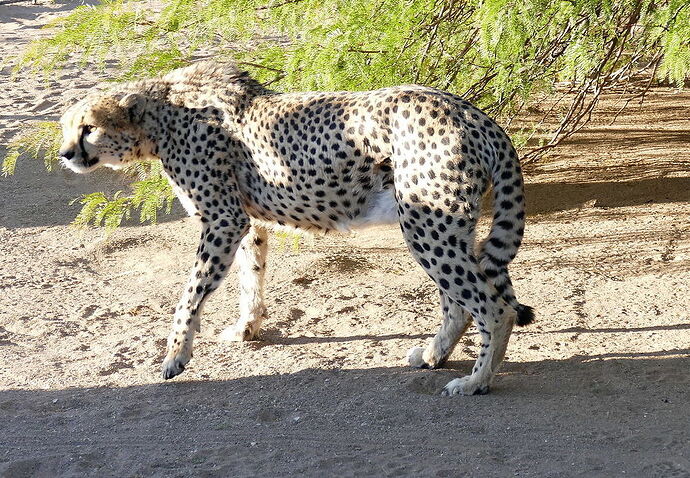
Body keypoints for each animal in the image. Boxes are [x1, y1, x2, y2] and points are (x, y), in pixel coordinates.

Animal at [59, 61, 532, 394]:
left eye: (89, 128)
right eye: (66, 127)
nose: (65, 154)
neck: (163, 116)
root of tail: (472, 113)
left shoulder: (223, 219)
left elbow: (190, 294)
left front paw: (176, 355)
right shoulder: (246, 222)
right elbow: (250, 278)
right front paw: (246, 328)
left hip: (426, 222)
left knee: (493, 307)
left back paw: (476, 382)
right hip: (443, 223)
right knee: (459, 302)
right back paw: (435, 355)